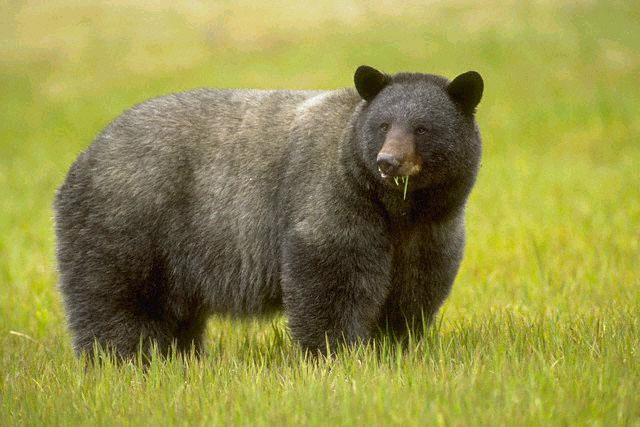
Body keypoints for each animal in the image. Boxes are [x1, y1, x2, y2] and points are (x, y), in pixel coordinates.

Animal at [54, 65, 483, 359]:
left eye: (423, 128)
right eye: (383, 124)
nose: (388, 162)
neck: (398, 208)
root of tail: (82, 158)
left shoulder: (429, 231)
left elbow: (414, 289)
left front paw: (394, 345)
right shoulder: (333, 197)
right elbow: (330, 277)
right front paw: (338, 351)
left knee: (173, 312)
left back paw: (177, 356)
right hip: (129, 220)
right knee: (113, 296)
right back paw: (122, 358)